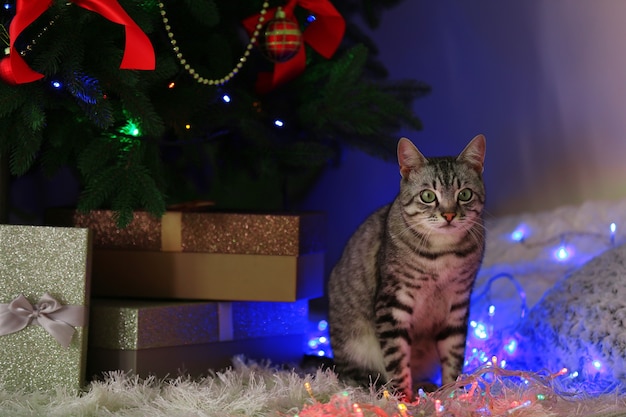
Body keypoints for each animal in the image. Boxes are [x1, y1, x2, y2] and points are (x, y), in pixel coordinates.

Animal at [326, 135, 488, 398]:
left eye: (464, 194)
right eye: (428, 196)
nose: (449, 215)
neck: (443, 255)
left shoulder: (458, 303)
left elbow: (454, 357)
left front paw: (454, 395)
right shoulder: (393, 302)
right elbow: (397, 359)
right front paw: (403, 399)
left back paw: (427, 387)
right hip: (355, 346)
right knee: (357, 377)